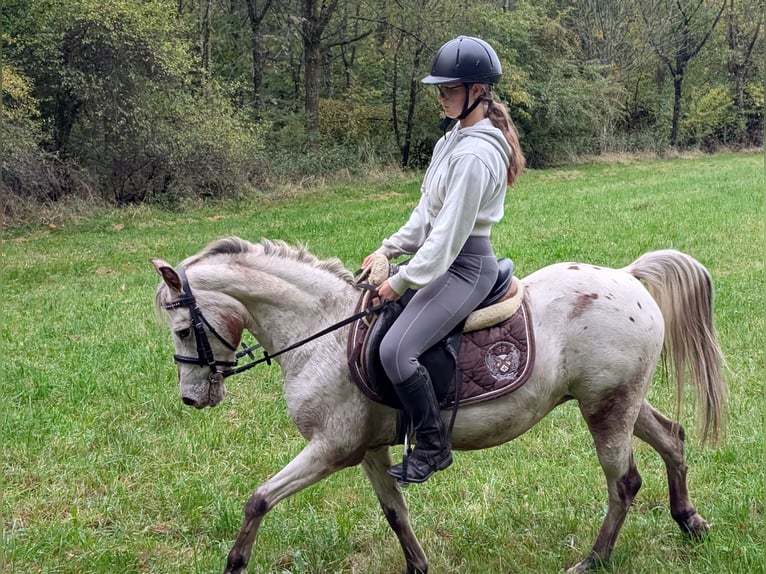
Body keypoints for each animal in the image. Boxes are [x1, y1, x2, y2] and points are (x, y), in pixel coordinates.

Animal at [151, 236, 725, 574]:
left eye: (181, 330)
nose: (190, 398)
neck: (323, 330)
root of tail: (627, 277)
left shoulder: (331, 449)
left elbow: (258, 500)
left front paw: (234, 563)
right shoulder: (369, 451)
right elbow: (395, 512)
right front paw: (419, 568)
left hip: (605, 408)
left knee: (623, 483)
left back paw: (594, 560)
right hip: (617, 401)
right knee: (672, 438)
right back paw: (689, 522)